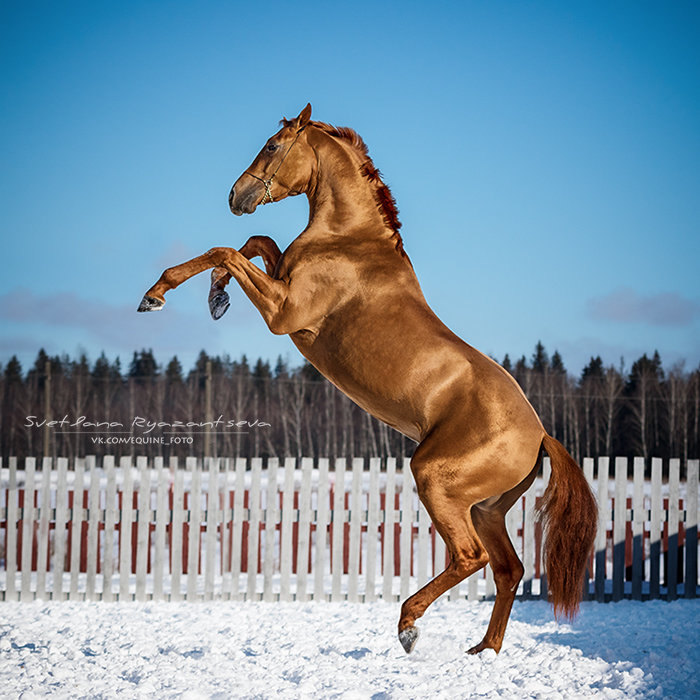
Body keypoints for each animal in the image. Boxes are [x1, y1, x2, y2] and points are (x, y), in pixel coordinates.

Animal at [138, 104, 596, 656]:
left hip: (437, 481)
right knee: (509, 570)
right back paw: (482, 651)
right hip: (487, 509)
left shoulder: (284, 313)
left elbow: (225, 249)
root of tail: (540, 433)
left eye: (272, 146)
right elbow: (255, 243)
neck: (348, 240)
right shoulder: (280, 282)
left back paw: (409, 624)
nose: (235, 196)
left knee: (471, 557)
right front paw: (217, 296)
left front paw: (157, 293)